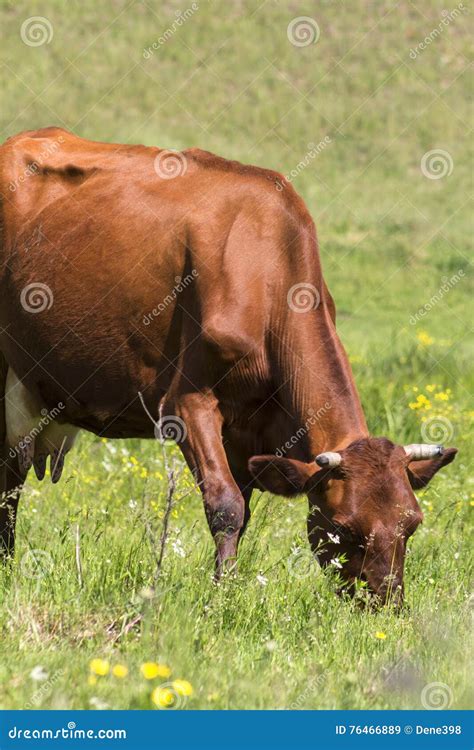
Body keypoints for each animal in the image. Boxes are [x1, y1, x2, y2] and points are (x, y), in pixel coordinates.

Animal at [0, 128, 458, 604]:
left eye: (412, 525)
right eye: (343, 528)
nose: (385, 605)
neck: (265, 274)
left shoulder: (250, 430)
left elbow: (244, 509)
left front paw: (229, 586)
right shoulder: (186, 403)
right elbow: (226, 506)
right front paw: (221, 597)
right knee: (8, 481)